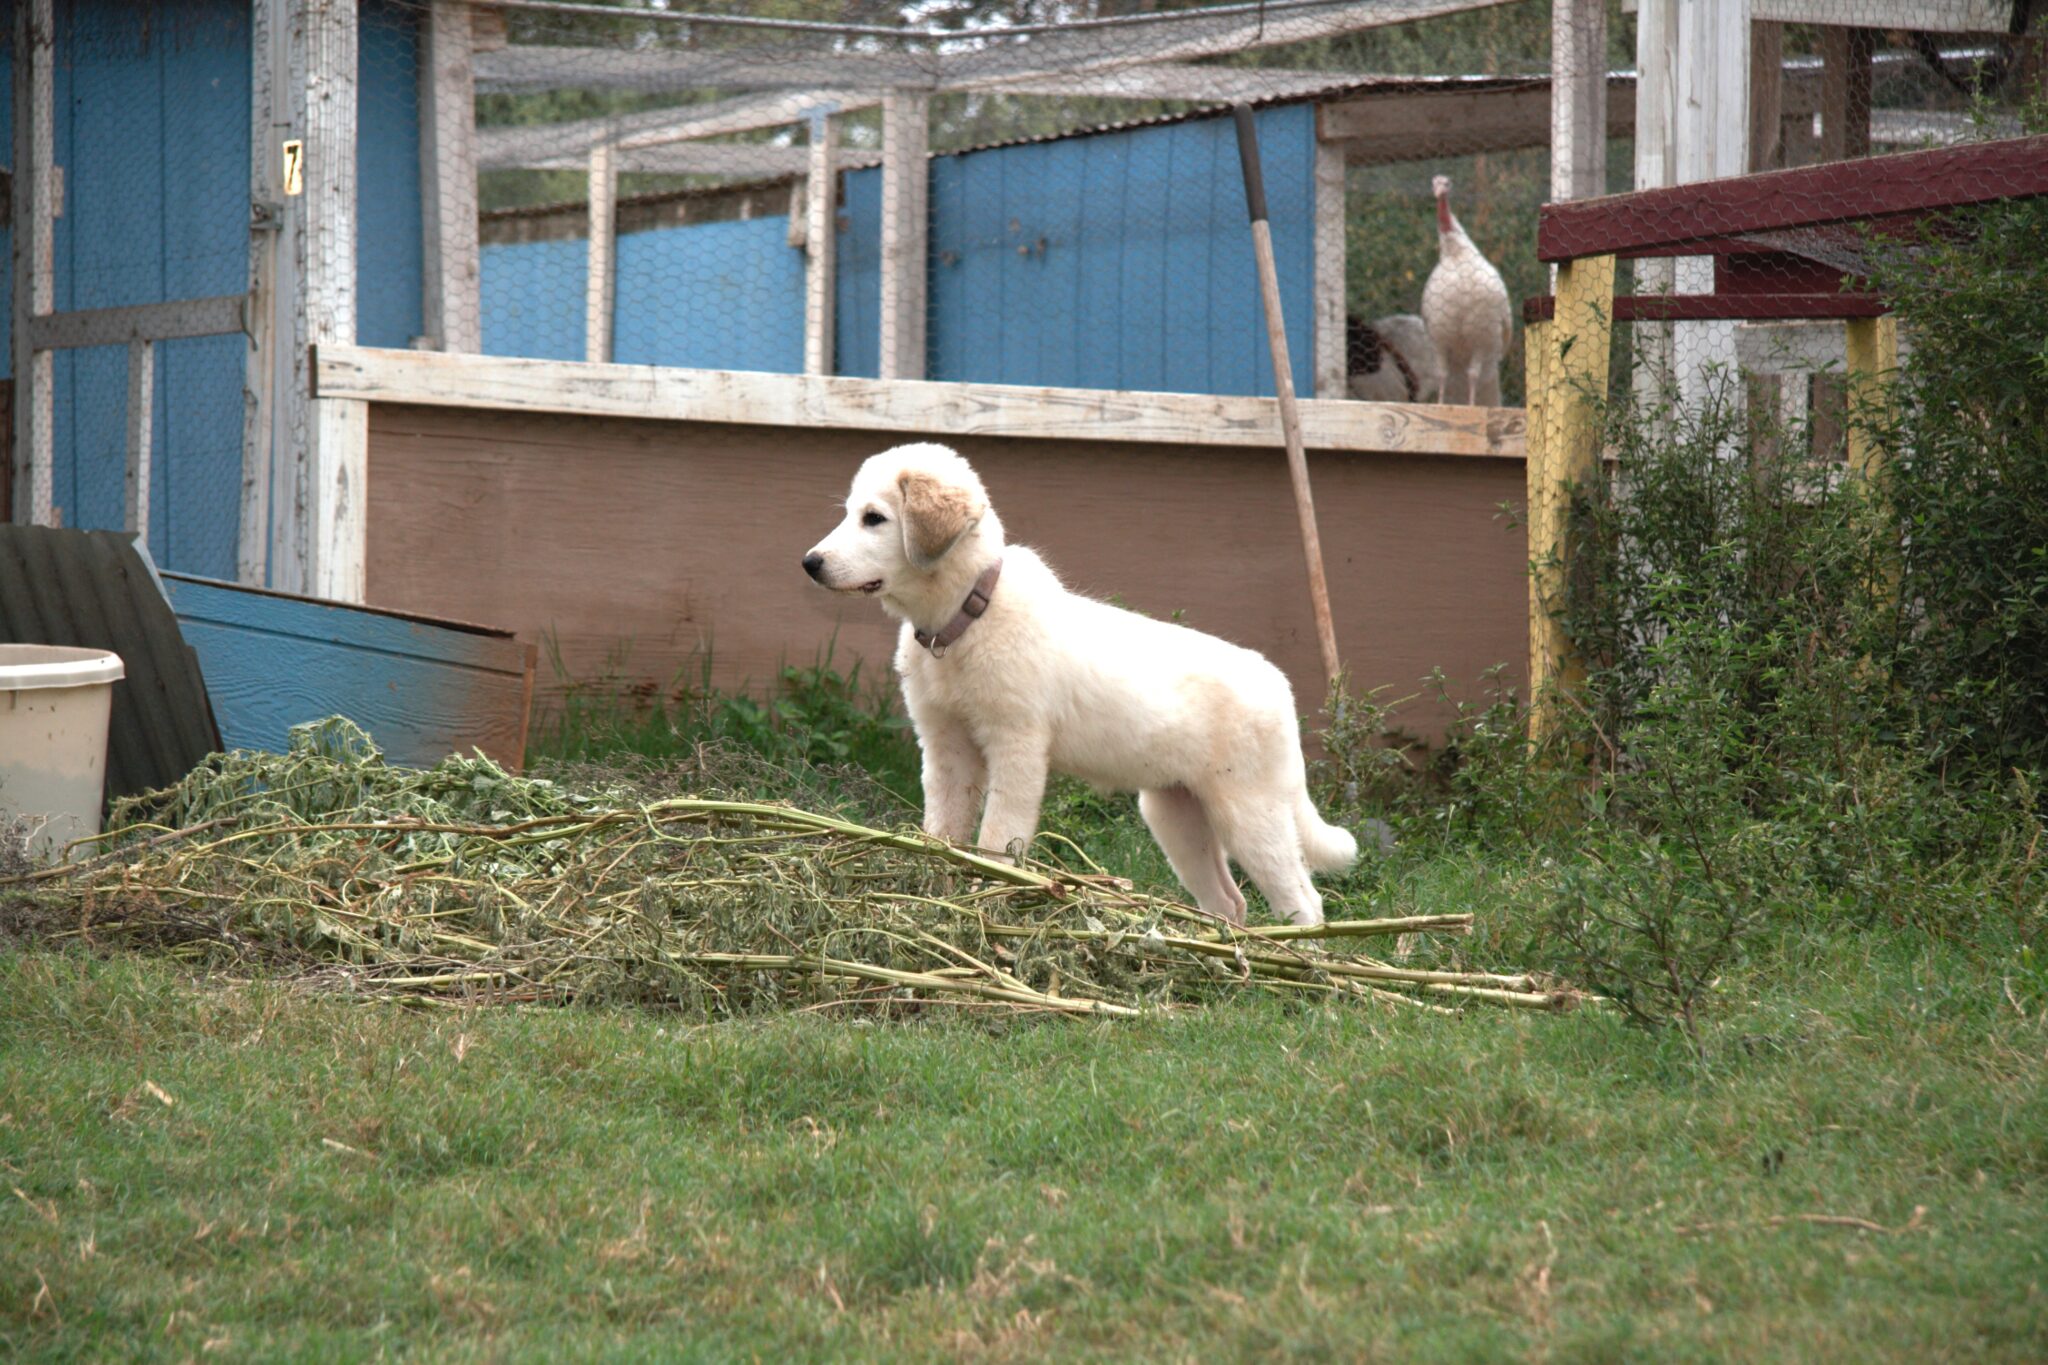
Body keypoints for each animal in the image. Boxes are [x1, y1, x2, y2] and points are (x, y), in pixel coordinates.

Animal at [802, 444, 1359, 925]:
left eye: (874, 518)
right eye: (850, 513)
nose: (810, 563)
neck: (964, 619)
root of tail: (1277, 684)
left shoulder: (1017, 748)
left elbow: (996, 838)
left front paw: (988, 900)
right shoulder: (946, 750)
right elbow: (942, 833)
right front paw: (936, 895)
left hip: (1250, 810)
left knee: (1303, 899)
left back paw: (1301, 959)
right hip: (1178, 815)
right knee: (1229, 900)